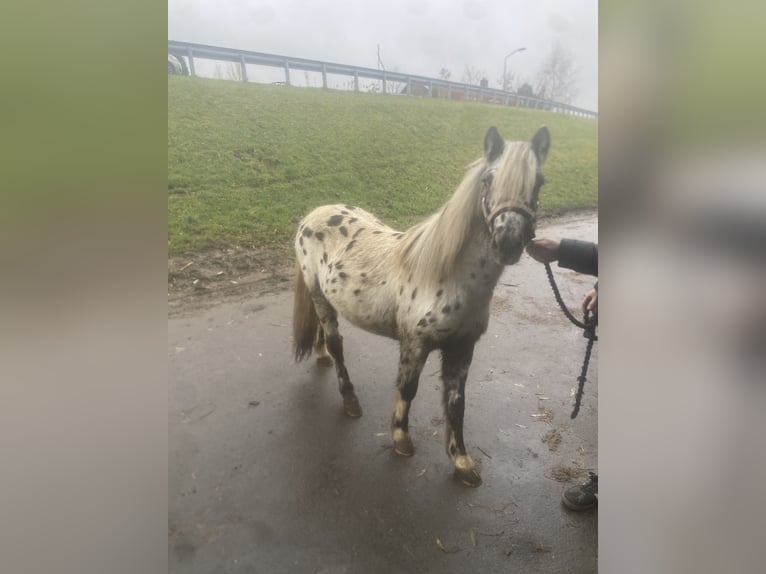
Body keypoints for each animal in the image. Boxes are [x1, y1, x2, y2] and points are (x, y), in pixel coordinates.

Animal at [292, 126, 550, 486]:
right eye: (487, 180)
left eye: (539, 182)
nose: (509, 242)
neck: (448, 276)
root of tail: (313, 215)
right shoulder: (414, 344)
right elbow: (407, 389)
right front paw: (401, 440)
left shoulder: (462, 349)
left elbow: (456, 404)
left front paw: (462, 462)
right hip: (319, 296)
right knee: (336, 343)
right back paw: (350, 401)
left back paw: (320, 356)